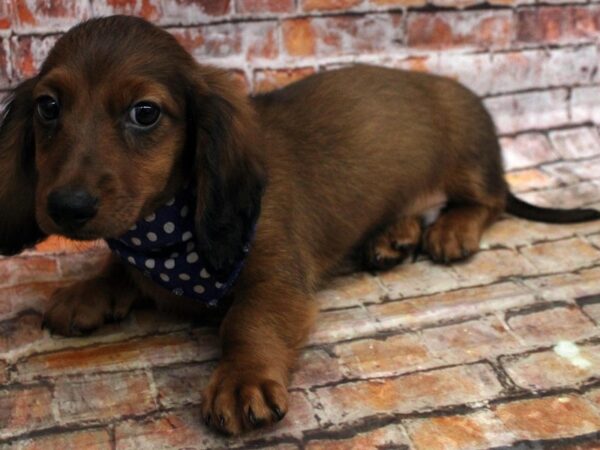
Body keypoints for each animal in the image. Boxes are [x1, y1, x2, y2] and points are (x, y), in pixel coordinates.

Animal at [1, 15, 600, 434]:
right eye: (49, 106)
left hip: (467, 159)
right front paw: (87, 290)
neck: (168, 232)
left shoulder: (275, 277)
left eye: (144, 113)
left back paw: (450, 229)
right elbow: (120, 267)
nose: (66, 206)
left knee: (489, 202)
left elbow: (247, 321)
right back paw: (394, 236)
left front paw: (243, 379)